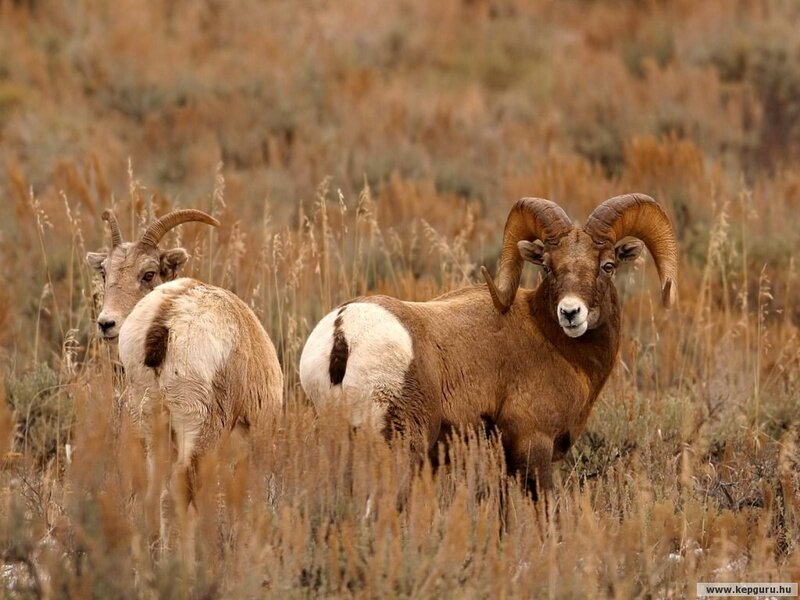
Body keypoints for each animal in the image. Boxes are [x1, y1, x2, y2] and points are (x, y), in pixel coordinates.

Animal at [86, 209, 283, 558]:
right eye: (105, 273)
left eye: (148, 274)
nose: (106, 324)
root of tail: (165, 317)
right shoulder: (255, 430)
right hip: (198, 425)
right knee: (183, 486)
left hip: (150, 418)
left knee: (152, 490)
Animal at [299, 193, 678, 498]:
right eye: (548, 267)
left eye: (608, 265)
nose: (570, 313)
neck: (552, 343)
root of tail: (343, 331)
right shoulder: (533, 447)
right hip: (400, 446)